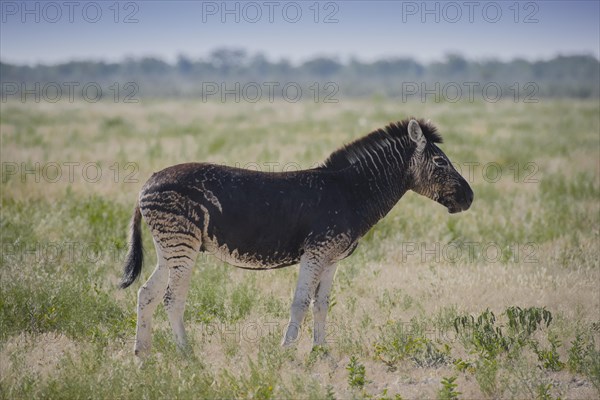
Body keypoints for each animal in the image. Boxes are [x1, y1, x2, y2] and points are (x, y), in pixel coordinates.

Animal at [120, 118, 474, 356]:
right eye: (441, 162)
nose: (470, 198)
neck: (352, 193)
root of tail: (148, 181)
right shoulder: (316, 253)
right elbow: (300, 302)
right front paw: (287, 351)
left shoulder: (331, 259)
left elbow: (321, 304)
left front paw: (321, 352)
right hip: (181, 244)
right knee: (171, 298)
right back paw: (187, 355)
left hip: (170, 247)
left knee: (147, 294)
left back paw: (142, 356)